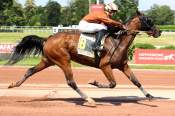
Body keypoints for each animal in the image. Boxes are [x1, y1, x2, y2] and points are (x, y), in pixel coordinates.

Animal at [7, 11, 161, 106]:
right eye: (148, 20)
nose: (159, 31)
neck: (118, 41)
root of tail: (48, 39)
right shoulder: (105, 65)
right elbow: (112, 84)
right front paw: (94, 82)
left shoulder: (123, 66)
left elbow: (136, 81)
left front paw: (149, 96)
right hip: (63, 60)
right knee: (71, 82)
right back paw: (88, 99)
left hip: (48, 60)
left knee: (30, 70)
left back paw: (13, 84)